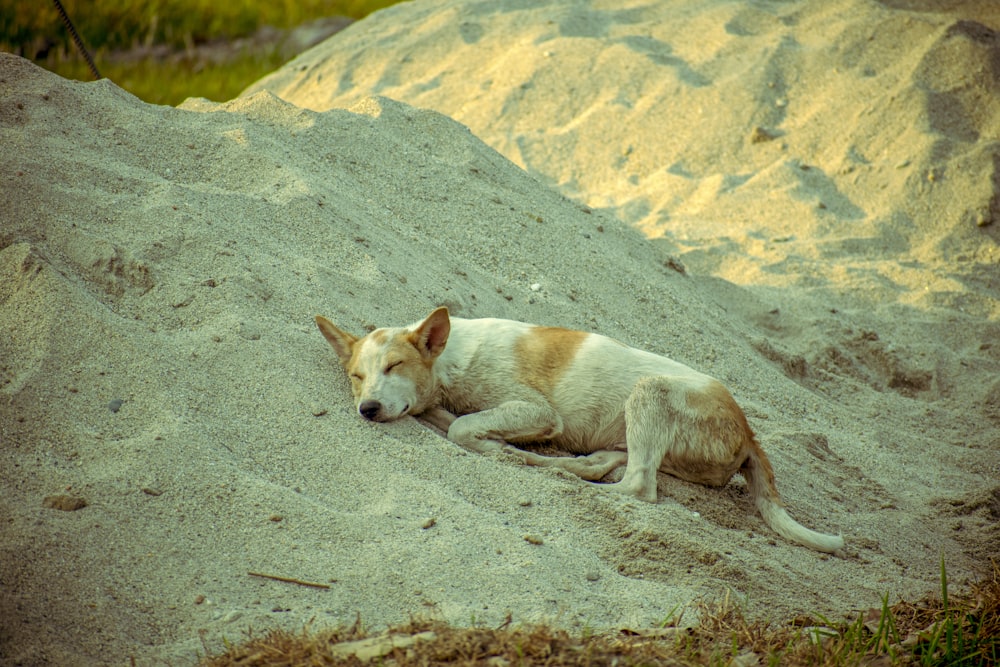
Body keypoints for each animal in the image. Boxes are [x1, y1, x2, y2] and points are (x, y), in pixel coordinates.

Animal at [314, 308, 844, 552]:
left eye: (395, 366)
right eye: (357, 375)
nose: (367, 409)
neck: (451, 357)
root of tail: (749, 431)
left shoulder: (536, 410)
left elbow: (463, 426)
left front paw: (481, 436)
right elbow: (452, 419)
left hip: (649, 392)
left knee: (639, 488)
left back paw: (553, 472)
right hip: (634, 433)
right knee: (613, 465)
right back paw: (554, 464)